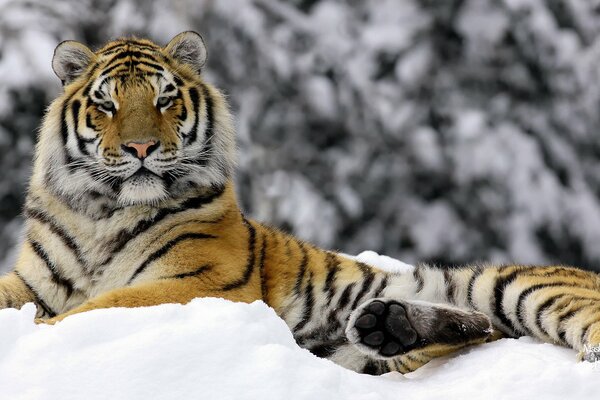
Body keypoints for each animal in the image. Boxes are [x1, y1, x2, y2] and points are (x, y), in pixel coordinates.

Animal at [0, 30, 596, 376]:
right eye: (106, 104)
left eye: (165, 99)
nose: (141, 148)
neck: (101, 214)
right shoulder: (33, 282)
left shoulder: (199, 282)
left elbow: (97, 308)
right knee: (471, 327)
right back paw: (390, 324)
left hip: (513, 286)